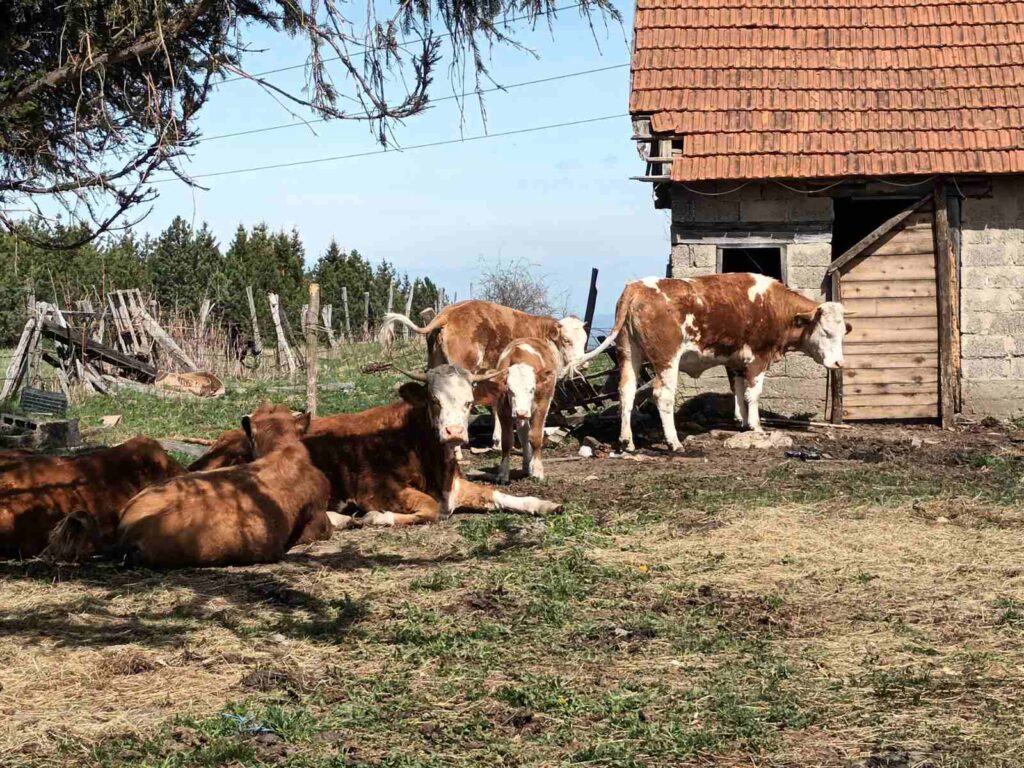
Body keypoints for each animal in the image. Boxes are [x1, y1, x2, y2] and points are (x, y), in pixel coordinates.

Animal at [188, 365, 563, 527]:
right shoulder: (377, 489)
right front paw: (377, 517)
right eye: (434, 401)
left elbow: (502, 495)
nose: (455, 432)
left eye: (470, 402)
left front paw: (545, 504)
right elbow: (430, 509)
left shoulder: (457, 486)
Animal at [475, 337, 561, 485]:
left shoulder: (542, 406)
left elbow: (536, 437)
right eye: (509, 390)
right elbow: (507, 441)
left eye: (532, 389)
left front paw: (537, 470)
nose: (521, 412)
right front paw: (503, 473)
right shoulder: (503, 409)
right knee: (523, 432)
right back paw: (526, 465)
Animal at [581, 274, 851, 451]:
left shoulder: (735, 360)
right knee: (662, 395)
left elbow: (739, 391)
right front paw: (755, 426)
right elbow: (753, 393)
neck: (774, 306)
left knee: (626, 393)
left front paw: (742, 421)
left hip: (629, 353)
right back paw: (674, 442)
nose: (839, 363)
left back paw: (627, 441)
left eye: (843, 333)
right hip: (666, 359)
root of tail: (636, 287)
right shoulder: (758, 358)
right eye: (826, 332)